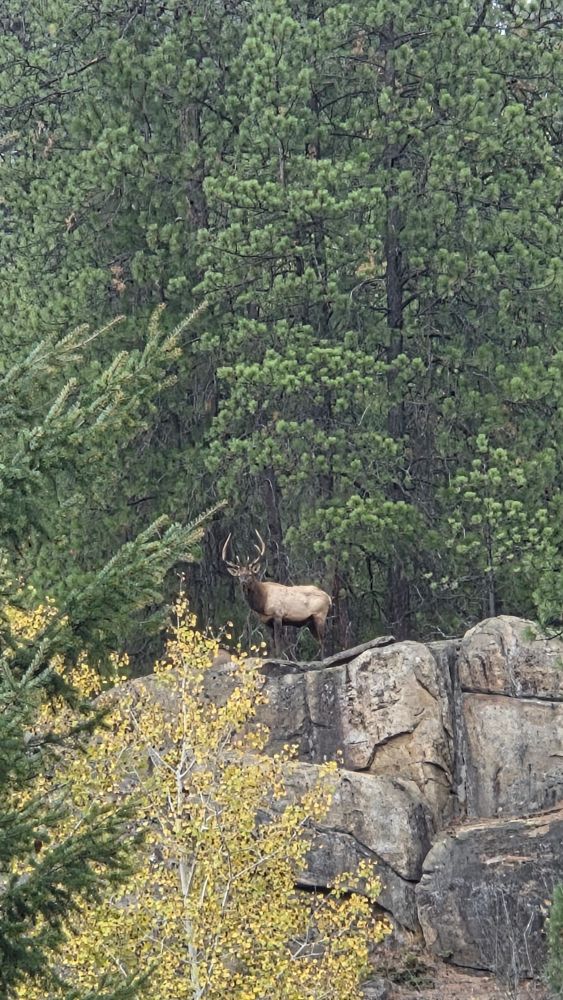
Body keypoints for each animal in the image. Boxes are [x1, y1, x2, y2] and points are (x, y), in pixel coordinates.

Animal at [221, 530, 331, 659]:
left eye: (250, 574)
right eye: (239, 575)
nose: (243, 583)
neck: (262, 603)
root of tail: (329, 598)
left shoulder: (278, 615)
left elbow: (278, 642)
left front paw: (279, 657)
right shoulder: (267, 622)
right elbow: (272, 643)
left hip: (320, 615)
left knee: (323, 640)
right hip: (311, 622)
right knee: (320, 641)